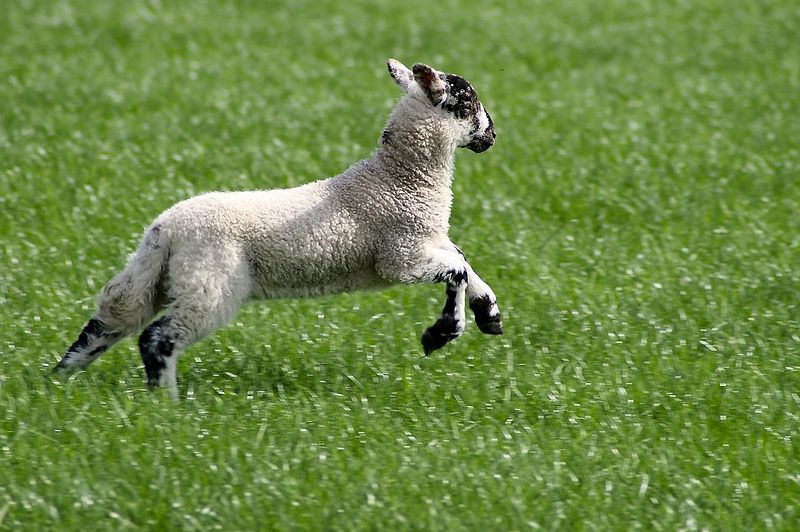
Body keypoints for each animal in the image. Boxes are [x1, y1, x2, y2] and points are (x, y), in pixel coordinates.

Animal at [56, 59, 504, 394]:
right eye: (467, 102)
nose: (493, 135)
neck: (397, 179)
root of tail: (165, 230)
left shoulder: (430, 241)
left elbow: (464, 262)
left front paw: (488, 315)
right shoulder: (401, 255)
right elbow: (458, 271)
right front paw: (442, 333)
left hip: (157, 277)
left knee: (109, 319)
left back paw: (58, 380)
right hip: (210, 282)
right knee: (157, 337)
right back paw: (166, 402)